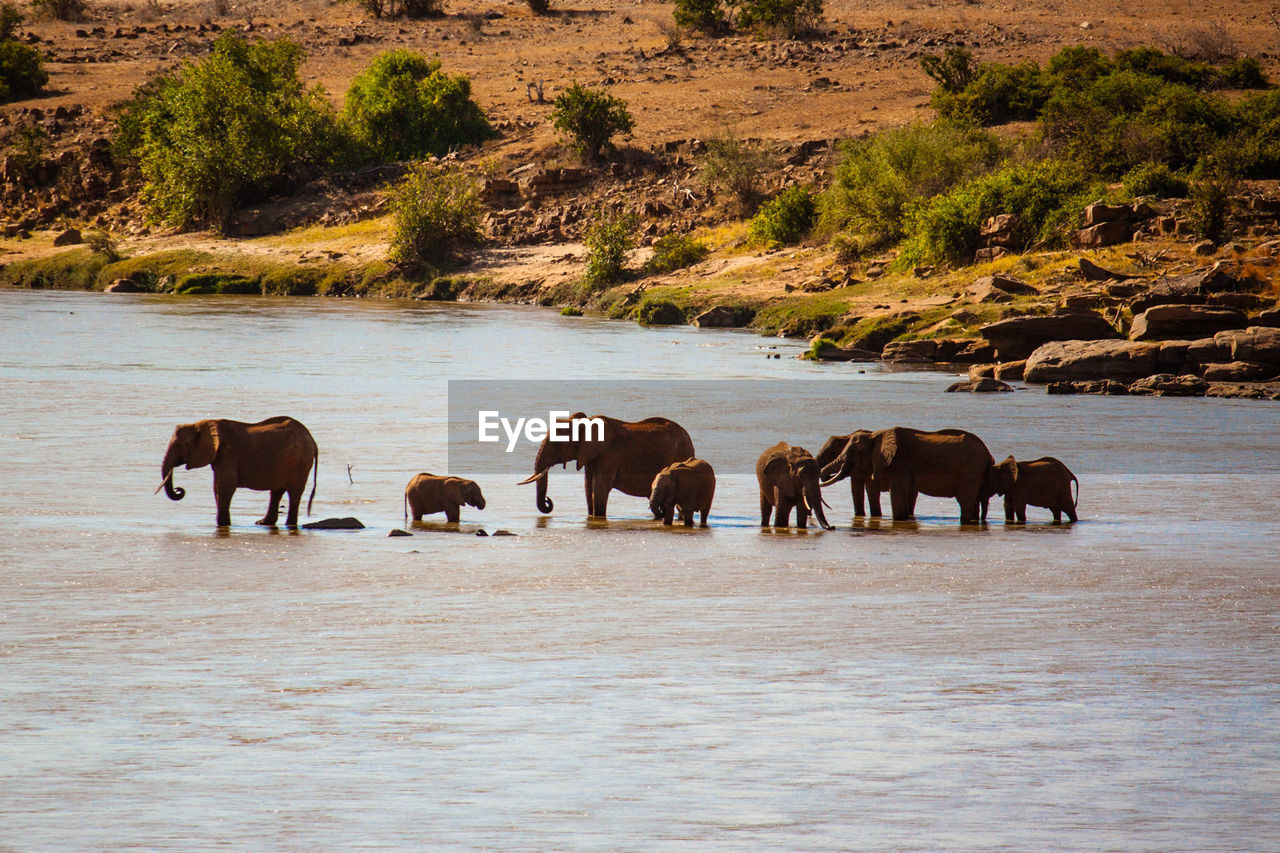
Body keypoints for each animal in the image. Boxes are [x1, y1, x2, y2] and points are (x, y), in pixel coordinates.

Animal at [157, 412, 317, 525]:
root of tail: (312, 440)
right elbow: (217, 487)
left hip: (301, 462)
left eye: (179, 445)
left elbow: (225, 487)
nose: (179, 490)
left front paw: (222, 525)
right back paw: (263, 523)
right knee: (277, 491)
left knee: (294, 493)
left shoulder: (228, 453)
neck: (203, 424)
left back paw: (288, 524)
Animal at [514, 409, 696, 514]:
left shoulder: (610, 455)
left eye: (557, 443)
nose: (548, 501)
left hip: (682, 452)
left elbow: (600, 488)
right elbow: (588, 487)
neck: (585, 423)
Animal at [824, 427, 993, 522]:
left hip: (970, 472)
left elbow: (897, 492)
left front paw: (898, 519)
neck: (877, 435)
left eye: (853, 451)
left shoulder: (900, 463)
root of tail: (988, 454)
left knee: (965, 501)